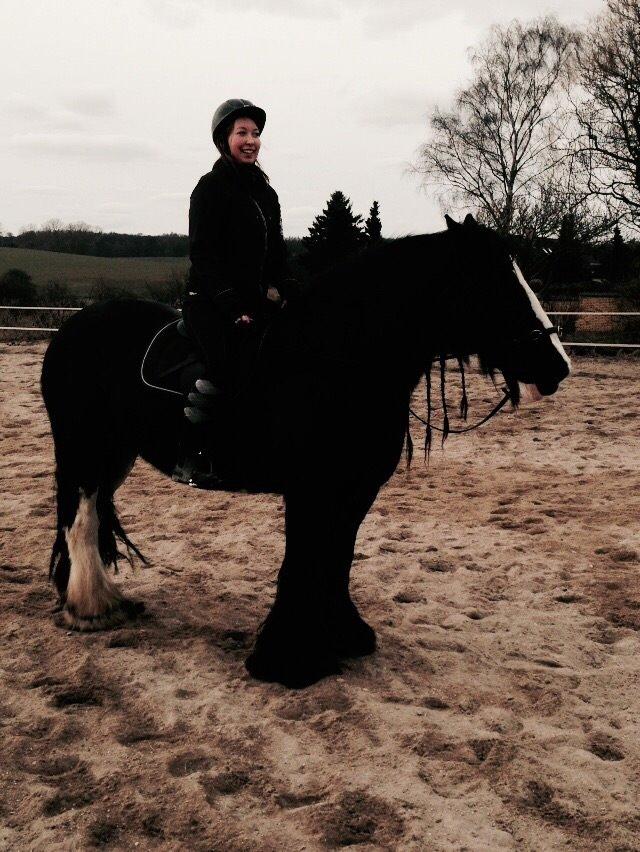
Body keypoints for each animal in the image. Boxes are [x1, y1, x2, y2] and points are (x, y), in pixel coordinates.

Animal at [38, 213, 568, 684]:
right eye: (495, 282)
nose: (558, 366)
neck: (336, 360)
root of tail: (72, 328)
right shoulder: (310, 489)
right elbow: (304, 560)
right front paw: (287, 660)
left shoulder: (353, 489)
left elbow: (336, 559)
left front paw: (344, 636)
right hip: (85, 449)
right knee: (81, 520)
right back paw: (90, 609)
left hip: (116, 454)